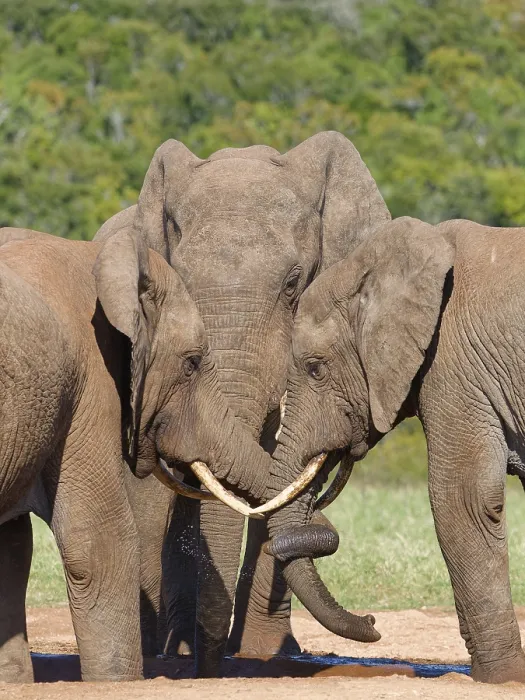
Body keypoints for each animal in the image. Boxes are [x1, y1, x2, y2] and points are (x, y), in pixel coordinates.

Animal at [95, 131, 391, 675]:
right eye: (181, 283)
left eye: (294, 284)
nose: (373, 622)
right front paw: (181, 649)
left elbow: (283, 465)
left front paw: (263, 654)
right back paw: (167, 645)